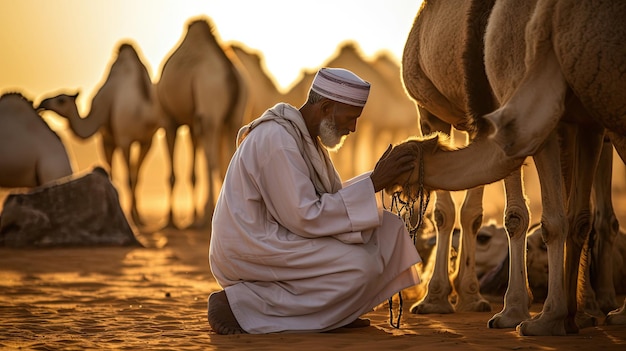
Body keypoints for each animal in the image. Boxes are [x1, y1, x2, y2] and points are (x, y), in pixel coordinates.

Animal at [37, 42, 161, 227]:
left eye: (61, 99)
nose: (42, 102)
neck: (142, 112)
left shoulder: (144, 141)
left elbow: (134, 177)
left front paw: (138, 218)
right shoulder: (115, 140)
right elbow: (120, 175)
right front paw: (130, 216)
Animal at [156, 17, 249, 230]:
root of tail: (230, 70)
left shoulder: (169, 120)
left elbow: (173, 171)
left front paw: (170, 220)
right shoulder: (192, 122)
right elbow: (192, 173)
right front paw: (190, 216)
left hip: (209, 109)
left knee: (211, 159)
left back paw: (207, 217)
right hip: (233, 116)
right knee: (227, 156)